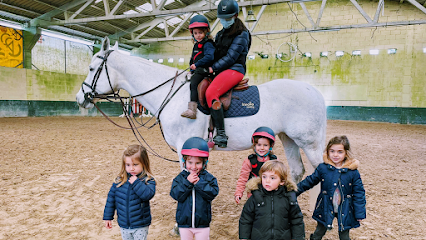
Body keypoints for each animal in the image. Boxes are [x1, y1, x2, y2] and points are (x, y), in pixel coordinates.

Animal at [75, 38, 326, 182]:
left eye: (91, 68)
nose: (80, 98)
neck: (172, 94)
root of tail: (314, 91)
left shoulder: (183, 147)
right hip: (288, 139)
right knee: (296, 171)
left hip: (310, 144)